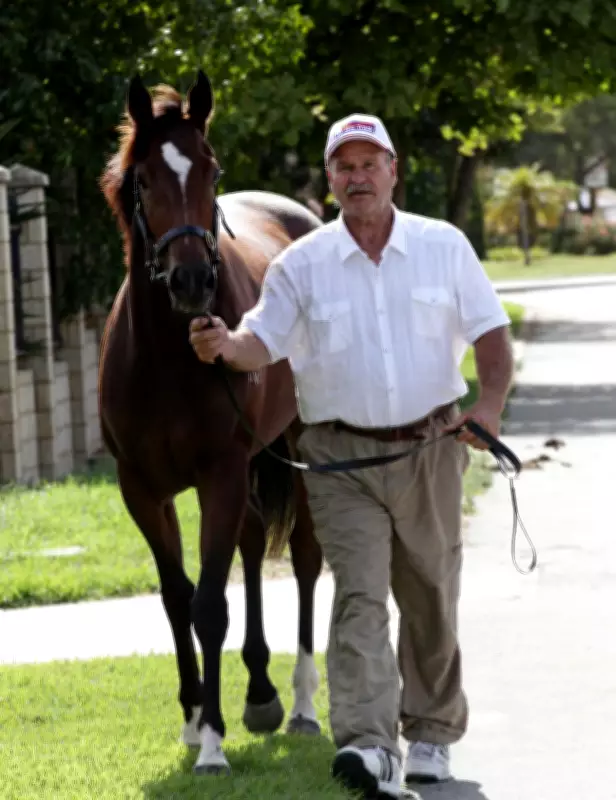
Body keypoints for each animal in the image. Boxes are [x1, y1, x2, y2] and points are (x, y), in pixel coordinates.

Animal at [98, 69, 324, 775]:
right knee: (252, 544)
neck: (168, 356)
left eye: (211, 169)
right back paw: (260, 693)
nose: (193, 280)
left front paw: (215, 745)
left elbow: (209, 606)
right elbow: (177, 598)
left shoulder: (219, 475)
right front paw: (196, 719)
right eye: (144, 179)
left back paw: (299, 705)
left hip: (296, 447)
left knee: (304, 559)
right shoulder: (141, 489)